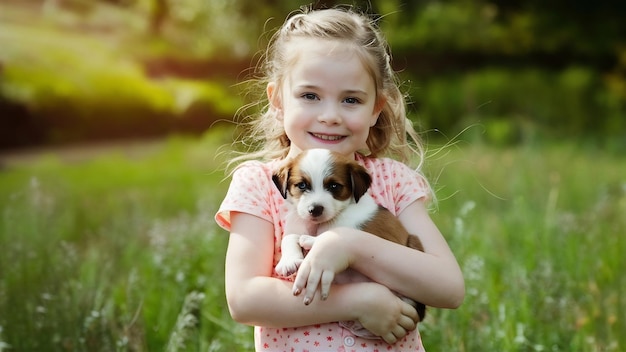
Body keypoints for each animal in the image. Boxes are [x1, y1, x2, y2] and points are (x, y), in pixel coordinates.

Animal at [268, 147, 424, 326]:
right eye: (302, 185)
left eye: (334, 186)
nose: (315, 209)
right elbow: (289, 238)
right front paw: (288, 261)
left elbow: (336, 233)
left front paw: (314, 239)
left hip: (414, 241)